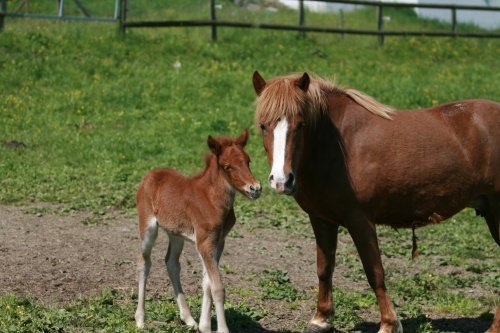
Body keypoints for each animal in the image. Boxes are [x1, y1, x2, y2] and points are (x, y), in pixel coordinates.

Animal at [135, 129, 264, 332]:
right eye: (227, 166)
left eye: (248, 161)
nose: (255, 188)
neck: (212, 200)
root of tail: (151, 174)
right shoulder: (204, 243)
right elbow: (217, 287)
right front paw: (222, 329)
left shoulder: (218, 242)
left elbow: (207, 283)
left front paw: (204, 326)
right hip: (148, 227)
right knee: (144, 262)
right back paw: (140, 320)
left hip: (176, 234)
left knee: (171, 263)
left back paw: (189, 319)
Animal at [252, 70, 500, 332]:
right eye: (263, 125)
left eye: (301, 125)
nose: (281, 180)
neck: (337, 146)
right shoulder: (321, 219)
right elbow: (324, 268)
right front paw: (321, 318)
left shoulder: (360, 220)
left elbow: (375, 272)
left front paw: (389, 323)